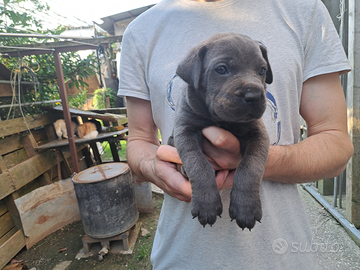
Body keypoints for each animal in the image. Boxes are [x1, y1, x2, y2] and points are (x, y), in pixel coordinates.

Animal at [169, 31, 272, 230]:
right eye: (222, 69)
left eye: (262, 70)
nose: (254, 96)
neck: (222, 121)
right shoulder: (184, 131)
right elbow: (198, 164)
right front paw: (206, 204)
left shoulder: (259, 135)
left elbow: (250, 167)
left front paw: (245, 207)